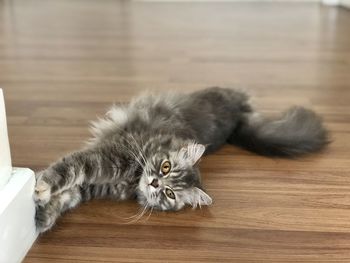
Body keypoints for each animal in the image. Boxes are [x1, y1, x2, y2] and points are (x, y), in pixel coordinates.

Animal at [32, 87, 328, 233]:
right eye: (166, 167)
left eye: (170, 194)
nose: (154, 183)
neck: (131, 179)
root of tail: (239, 117)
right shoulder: (105, 157)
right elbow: (67, 171)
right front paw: (41, 189)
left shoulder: (95, 181)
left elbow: (68, 191)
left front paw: (42, 215)